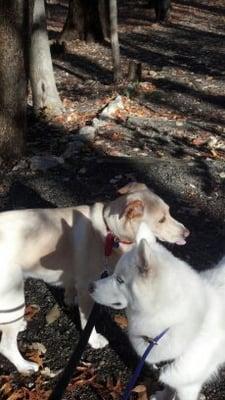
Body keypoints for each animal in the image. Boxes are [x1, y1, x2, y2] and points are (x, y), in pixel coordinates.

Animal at [0, 183, 188, 374]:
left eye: (169, 212)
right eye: (161, 220)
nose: (187, 233)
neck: (111, 233)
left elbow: (70, 288)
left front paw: (70, 299)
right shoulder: (87, 287)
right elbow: (87, 321)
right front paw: (94, 340)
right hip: (13, 296)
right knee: (6, 346)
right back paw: (25, 366)